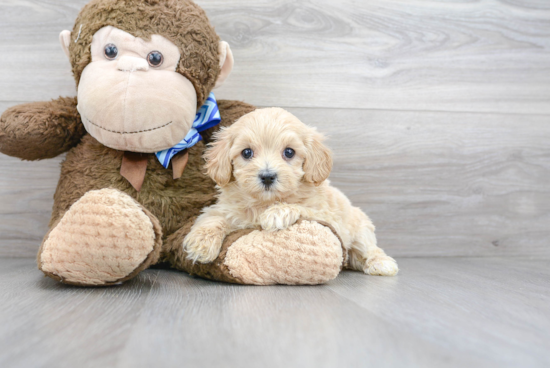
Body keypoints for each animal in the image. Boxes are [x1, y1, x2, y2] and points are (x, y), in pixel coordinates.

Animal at [183, 108, 398, 274]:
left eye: (289, 152)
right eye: (247, 152)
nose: (267, 176)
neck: (265, 202)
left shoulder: (326, 214)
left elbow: (301, 207)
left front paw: (277, 213)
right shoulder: (224, 209)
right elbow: (212, 218)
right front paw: (200, 244)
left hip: (361, 229)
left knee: (369, 248)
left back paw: (382, 264)